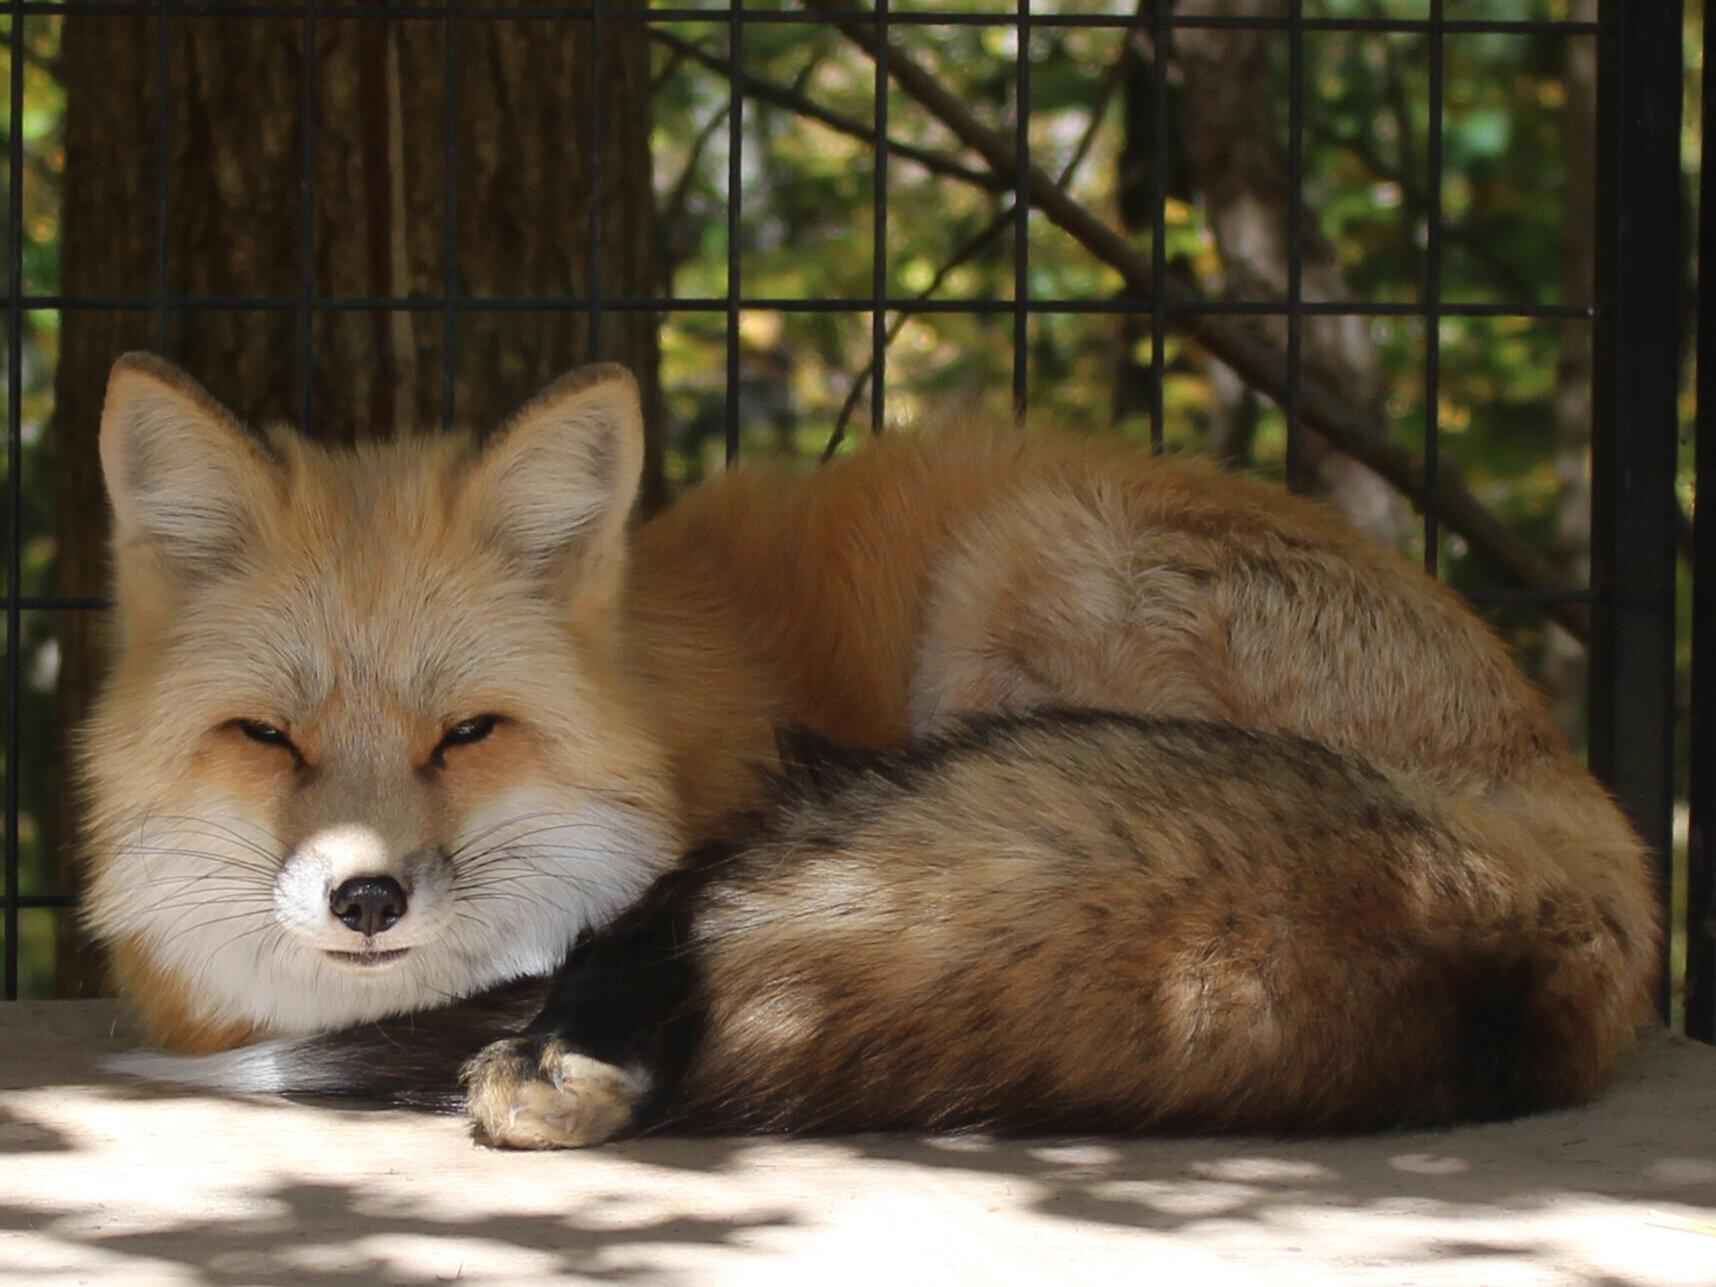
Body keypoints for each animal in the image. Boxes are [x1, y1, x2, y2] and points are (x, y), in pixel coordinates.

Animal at [83, 350, 1661, 1146]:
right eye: (267, 736)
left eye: (468, 732)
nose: (366, 898)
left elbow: (663, 914)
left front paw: (576, 1043)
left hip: (1016, 568)